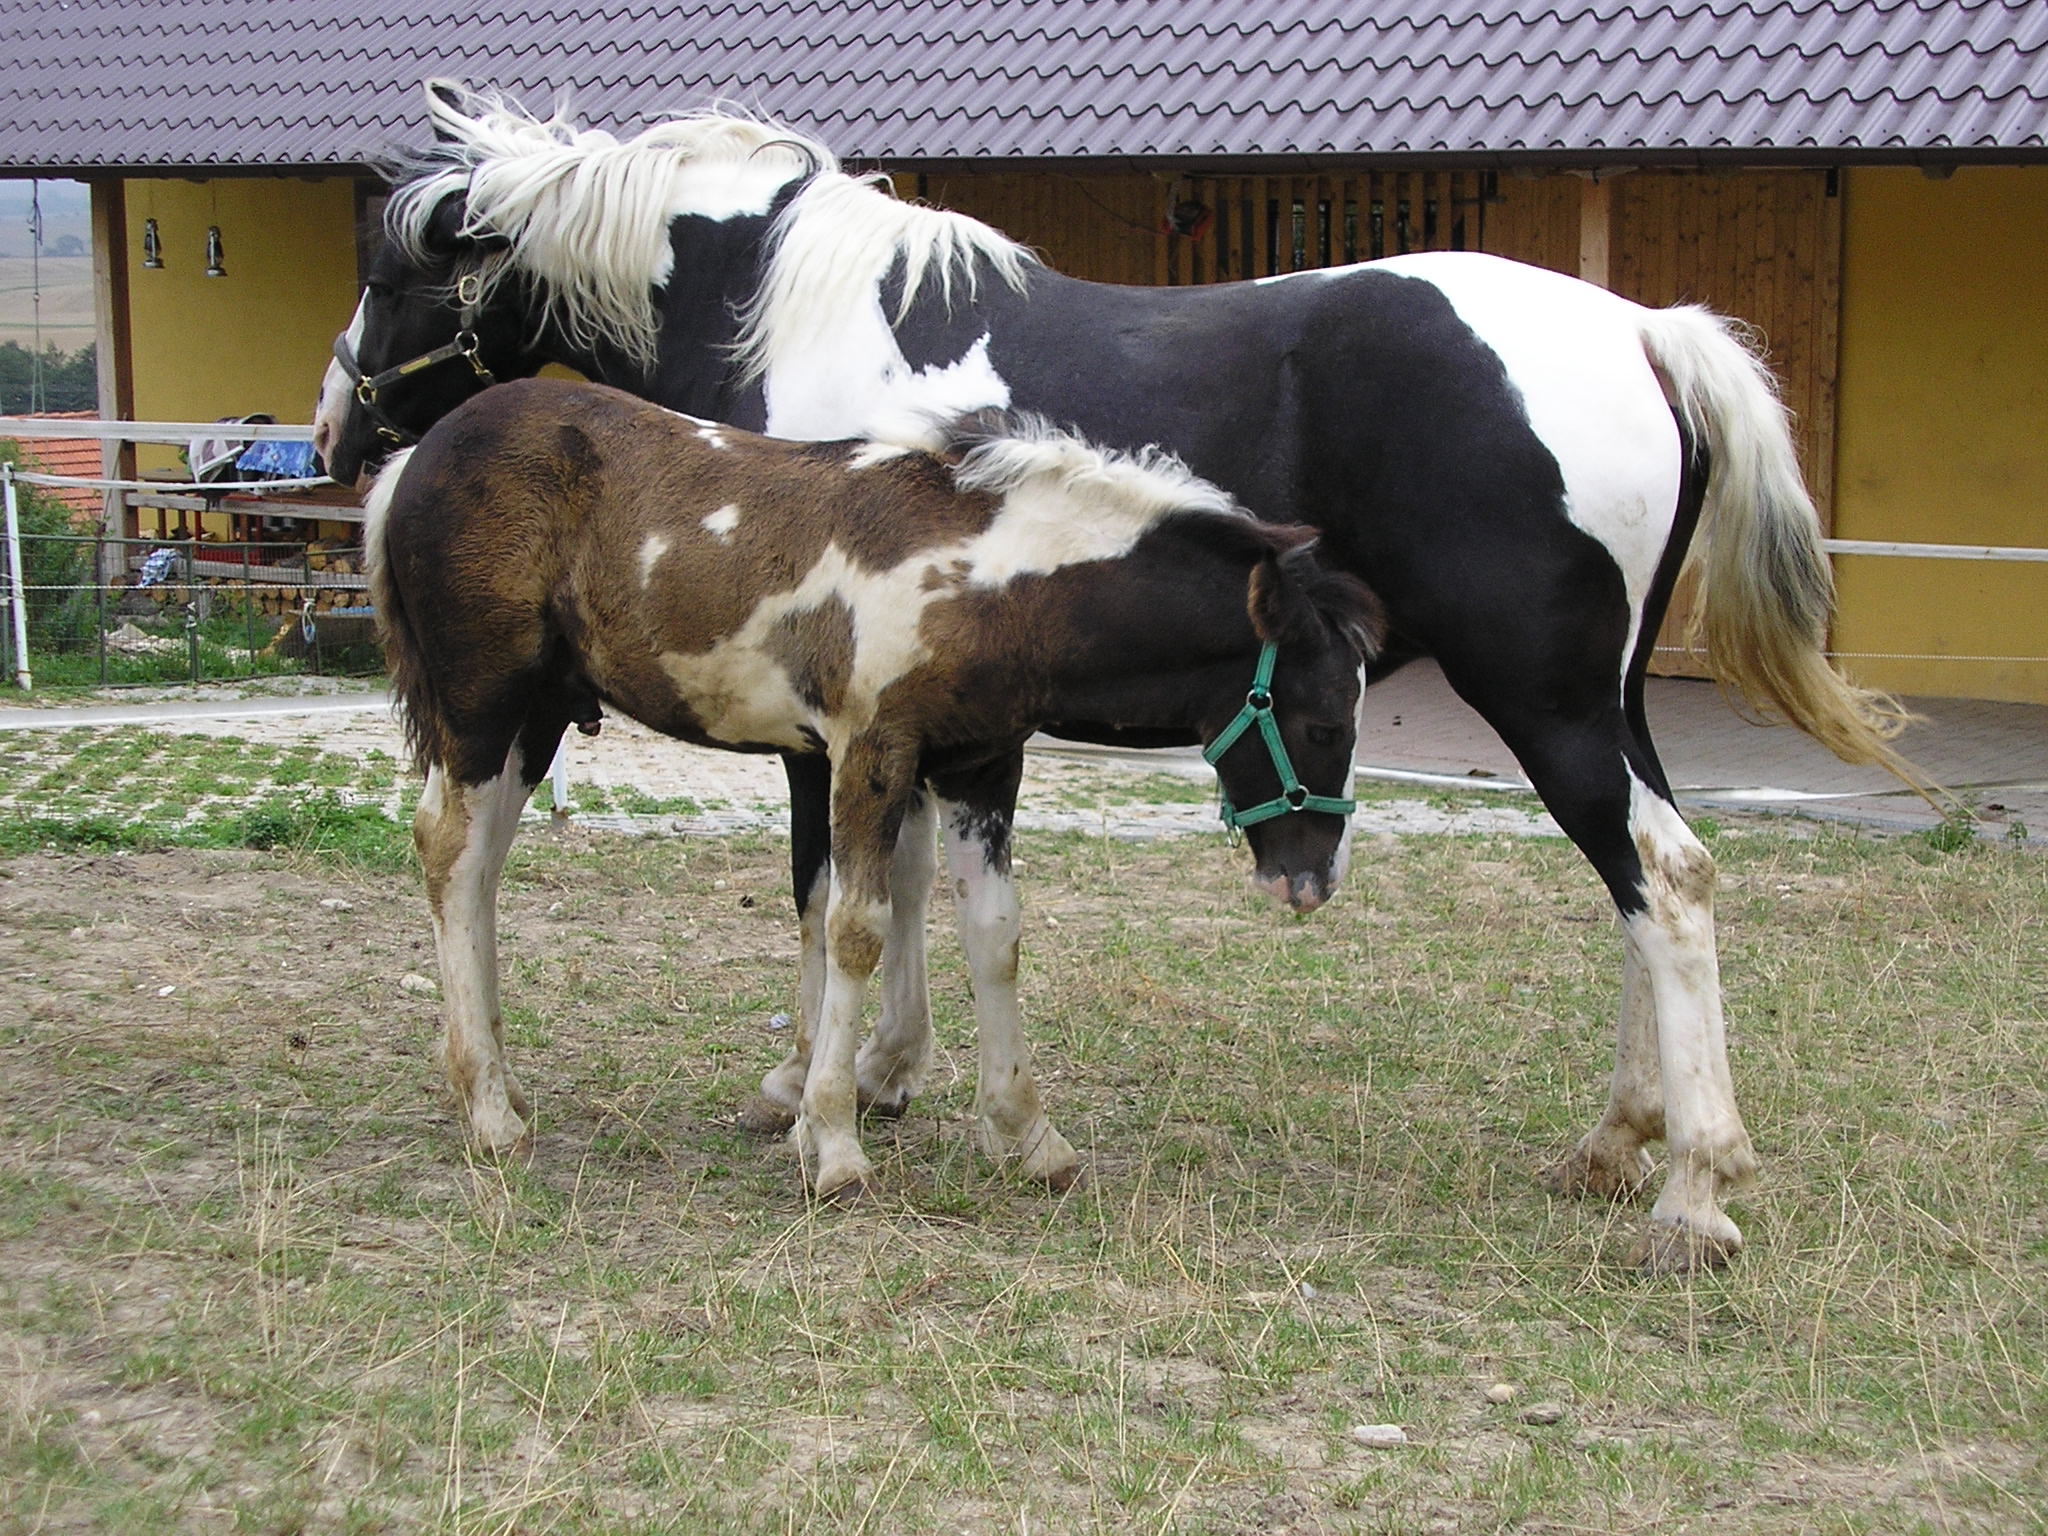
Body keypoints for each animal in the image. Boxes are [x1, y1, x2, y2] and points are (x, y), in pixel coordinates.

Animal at [372, 378, 1376, 1212]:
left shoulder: (979, 765)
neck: (991, 580)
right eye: (1326, 723)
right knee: (448, 850)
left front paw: (1026, 1135)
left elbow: (993, 934)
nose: (1311, 881)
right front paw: (834, 1144)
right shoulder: (870, 750)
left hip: (537, 714)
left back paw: (501, 1084)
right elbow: (856, 926)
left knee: (481, 869)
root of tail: (414, 455)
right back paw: (489, 1113)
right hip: (482, 702)